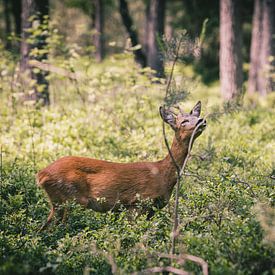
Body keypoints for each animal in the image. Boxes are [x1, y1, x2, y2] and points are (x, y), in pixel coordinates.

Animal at [37, 102, 207, 231]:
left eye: (196, 116)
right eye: (183, 121)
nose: (202, 120)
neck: (162, 175)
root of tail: (41, 175)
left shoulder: (152, 209)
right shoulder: (136, 203)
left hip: (58, 202)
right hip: (71, 197)